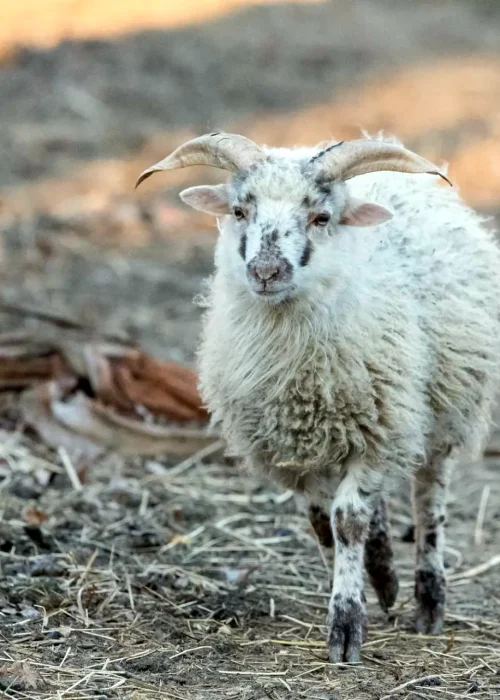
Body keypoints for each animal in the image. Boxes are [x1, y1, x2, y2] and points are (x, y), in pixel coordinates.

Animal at [136, 132, 500, 663]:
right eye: (240, 210)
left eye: (321, 217)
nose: (266, 271)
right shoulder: (296, 451)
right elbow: (323, 524)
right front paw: (349, 587)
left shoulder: (377, 431)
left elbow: (347, 520)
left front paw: (346, 623)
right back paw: (384, 574)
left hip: (445, 406)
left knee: (428, 498)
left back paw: (428, 601)